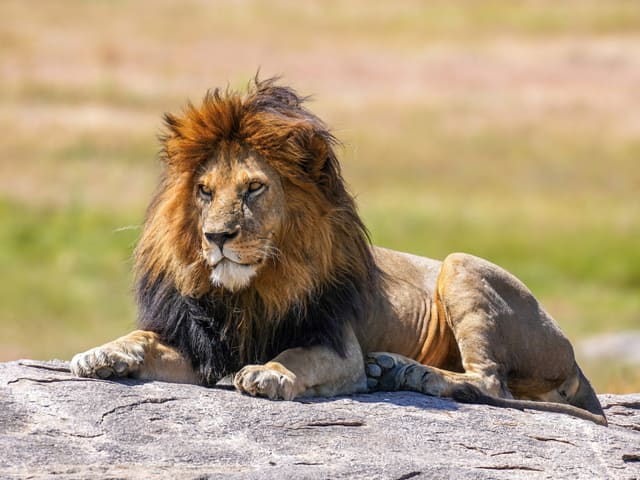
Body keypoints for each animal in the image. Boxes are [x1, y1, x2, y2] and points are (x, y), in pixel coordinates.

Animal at [71, 77, 607, 426]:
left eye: (253, 188)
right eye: (204, 191)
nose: (216, 237)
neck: (251, 291)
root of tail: (573, 357)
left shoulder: (337, 345)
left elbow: (296, 356)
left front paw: (269, 372)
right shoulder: (201, 347)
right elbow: (142, 338)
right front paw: (103, 353)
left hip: (461, 266)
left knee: (489, 382)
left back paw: (405, 371)